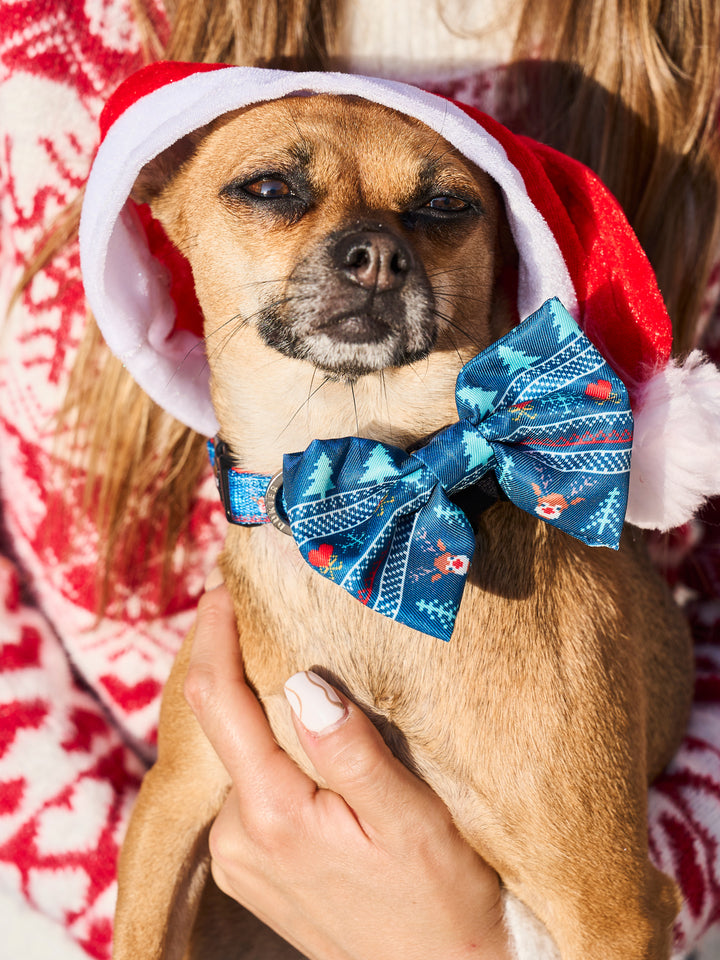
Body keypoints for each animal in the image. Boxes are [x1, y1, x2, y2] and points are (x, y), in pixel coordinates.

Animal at [109, 95, 696, 960]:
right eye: (269, 187)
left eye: (448, 204)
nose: (379, 257)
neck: (370, 494)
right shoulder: (169, 811)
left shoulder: (611, 905)